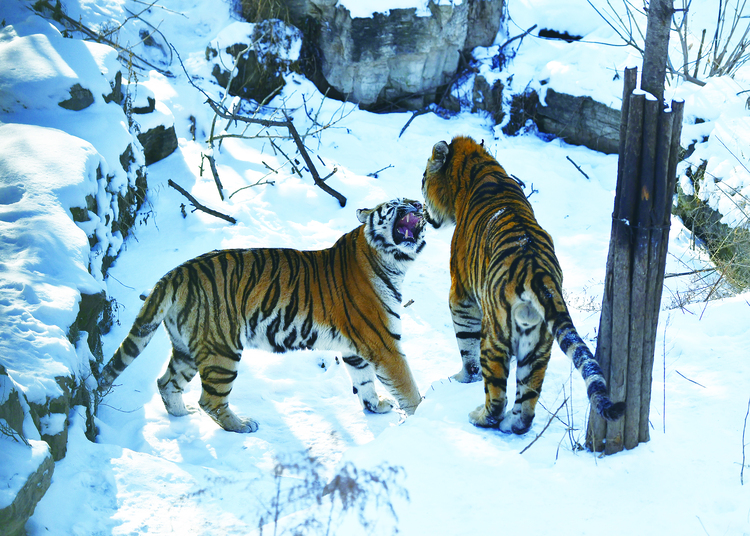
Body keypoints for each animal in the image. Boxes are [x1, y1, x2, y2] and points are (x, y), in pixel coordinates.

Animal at [98, 199, 428, 434]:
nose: (419, 204)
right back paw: (241, 425)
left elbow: (365, 382)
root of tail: (175, 273)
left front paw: (376, 406)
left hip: (187, 348)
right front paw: (423, 415)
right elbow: (405, 383)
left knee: (166, 383)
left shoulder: (356, 349)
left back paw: (181, 416)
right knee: (210, 400)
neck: (392, 262)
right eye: (398, 202)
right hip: (221, 349)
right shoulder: (383, 343)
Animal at [420, 136, 624, 434]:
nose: (423, 212)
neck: (477, 165)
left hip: (494, 336)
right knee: (527, 401)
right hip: (539, 345)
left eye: (423, 178)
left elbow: (466, 346)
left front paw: (461, 378)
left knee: (496, 396)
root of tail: (537, 273)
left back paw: (481, 417)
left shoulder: (461, 294)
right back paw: (512, 424)